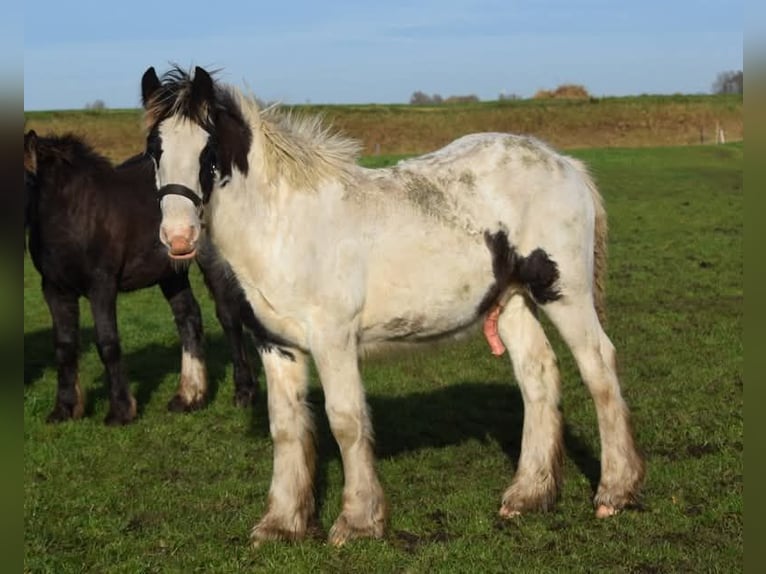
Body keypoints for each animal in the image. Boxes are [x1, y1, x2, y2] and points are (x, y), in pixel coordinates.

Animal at [24, 130, 262, 424]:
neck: (71, 215)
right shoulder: (55, 289)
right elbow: (64, 346)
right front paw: (65, 408)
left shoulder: (101, 285)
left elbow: (107, 342)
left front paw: (121, 411)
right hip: (171, 272)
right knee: (188, 317)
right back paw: (189, 397)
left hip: (212, 261)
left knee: (228, 316)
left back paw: (244, 392)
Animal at [140, 65, 645, 545]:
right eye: (154, 150)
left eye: (208, 151)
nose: (178, 238)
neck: (285, 226)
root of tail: (564, 163)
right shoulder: (276, 345)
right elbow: (285, 428)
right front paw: (282, 524)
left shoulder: (333, 339)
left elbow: (345, 421)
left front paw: (359, 522)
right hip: (513, 299)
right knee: (537, 376)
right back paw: (530, 495)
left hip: (564, 292)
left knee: (599, 369)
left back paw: (616, 491)